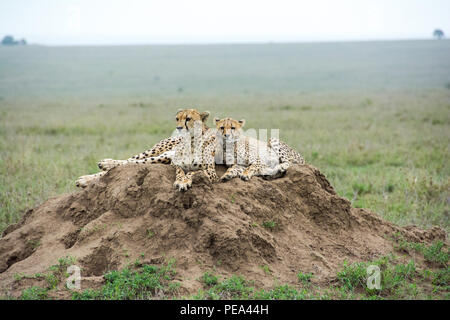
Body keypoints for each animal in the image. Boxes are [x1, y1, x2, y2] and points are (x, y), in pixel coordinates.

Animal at [75, 109, 218, 191]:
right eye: (177, 119)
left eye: (188, 119)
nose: (178, 128)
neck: (191, 142)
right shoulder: (175, 163)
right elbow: (181, 171)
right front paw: (181, 181)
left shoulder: (211, 172)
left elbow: (193, 172)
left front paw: (184, 182)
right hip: (159, 153)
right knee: (131, 161)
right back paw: (98, 169)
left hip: (164, 157)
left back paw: (86, 179)